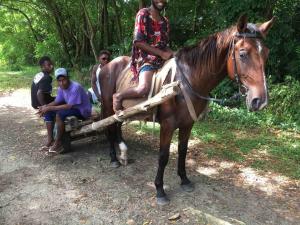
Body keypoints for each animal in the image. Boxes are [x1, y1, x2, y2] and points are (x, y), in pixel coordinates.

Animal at [100, 15, 274, 206]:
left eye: (266, 53)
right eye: (242, 54)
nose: (260, 101)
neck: (186, 82)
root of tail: (107, 65)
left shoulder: (187, 124)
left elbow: (183, 151)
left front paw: (184, 180)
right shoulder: (167, 125)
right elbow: (163, 156)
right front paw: (160, 190)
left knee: (117, 125)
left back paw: (123, 153)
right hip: (107, 106)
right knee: (109, 127)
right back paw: (114, 158)